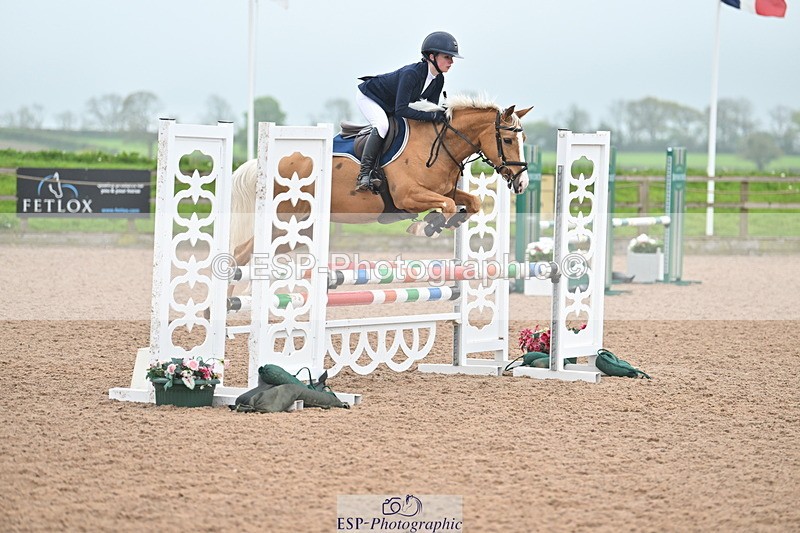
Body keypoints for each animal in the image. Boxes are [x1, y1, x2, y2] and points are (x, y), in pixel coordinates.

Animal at [228, 94, 532, 267]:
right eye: (508, 140)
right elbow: (445, 206)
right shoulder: (408, 196)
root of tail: (274, 162)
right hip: (285, 219)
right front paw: (426, 226)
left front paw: (443, 222)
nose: (522, 183)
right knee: (241, 253)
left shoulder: (446, 190)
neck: (438, 144)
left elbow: (473, 202)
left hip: (301, 228)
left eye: (523, 138)